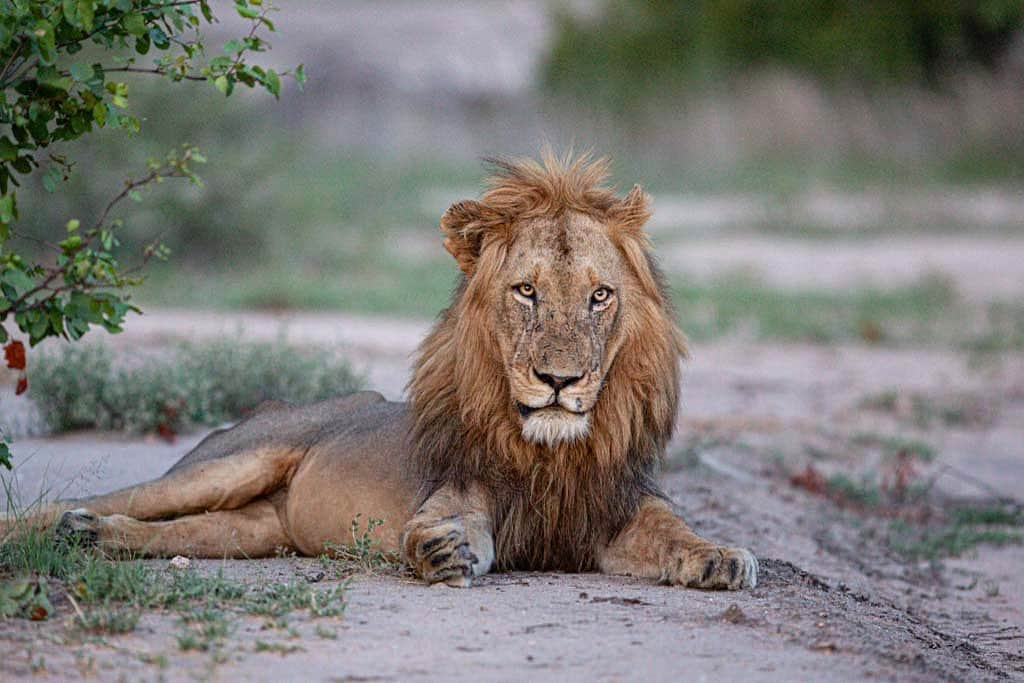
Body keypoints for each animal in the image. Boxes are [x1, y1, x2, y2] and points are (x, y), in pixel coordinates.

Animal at [6, 152, 761, 589]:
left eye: (600, 296)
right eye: (526, 291)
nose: (559, 382)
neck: (552, 454)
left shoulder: (619, 506)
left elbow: (674, 528)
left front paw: (721, 555)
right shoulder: (464, 489)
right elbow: (445, 524)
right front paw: (437, 550)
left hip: (251, 530)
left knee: (175, 533)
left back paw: (90, 535)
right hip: (230, 461)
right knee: (123, 498)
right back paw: (54, 529)